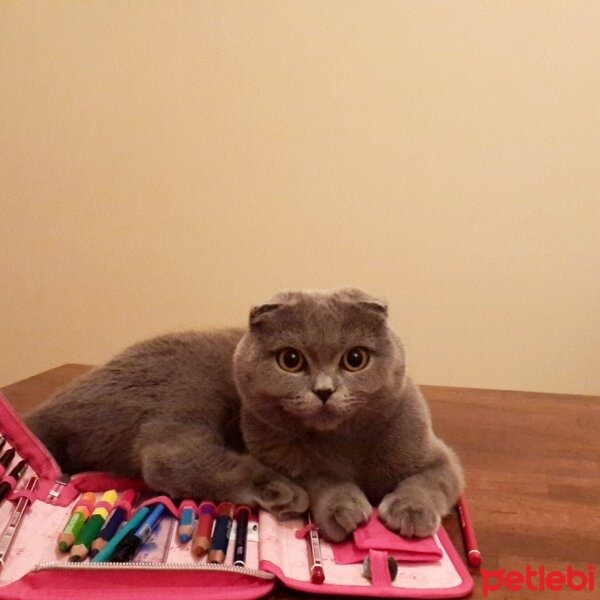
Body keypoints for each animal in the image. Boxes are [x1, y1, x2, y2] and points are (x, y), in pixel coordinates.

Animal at [24, 288, 464, 540]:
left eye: (355, 359)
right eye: (291, 360)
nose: (324, 391)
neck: (344, 442)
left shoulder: (437, 454)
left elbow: (431, 481)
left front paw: (410, 511)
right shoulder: (290, 459)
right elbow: (322, 480)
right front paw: (341, 507)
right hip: (187, 393)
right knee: (167, 459)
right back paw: (282, 492)